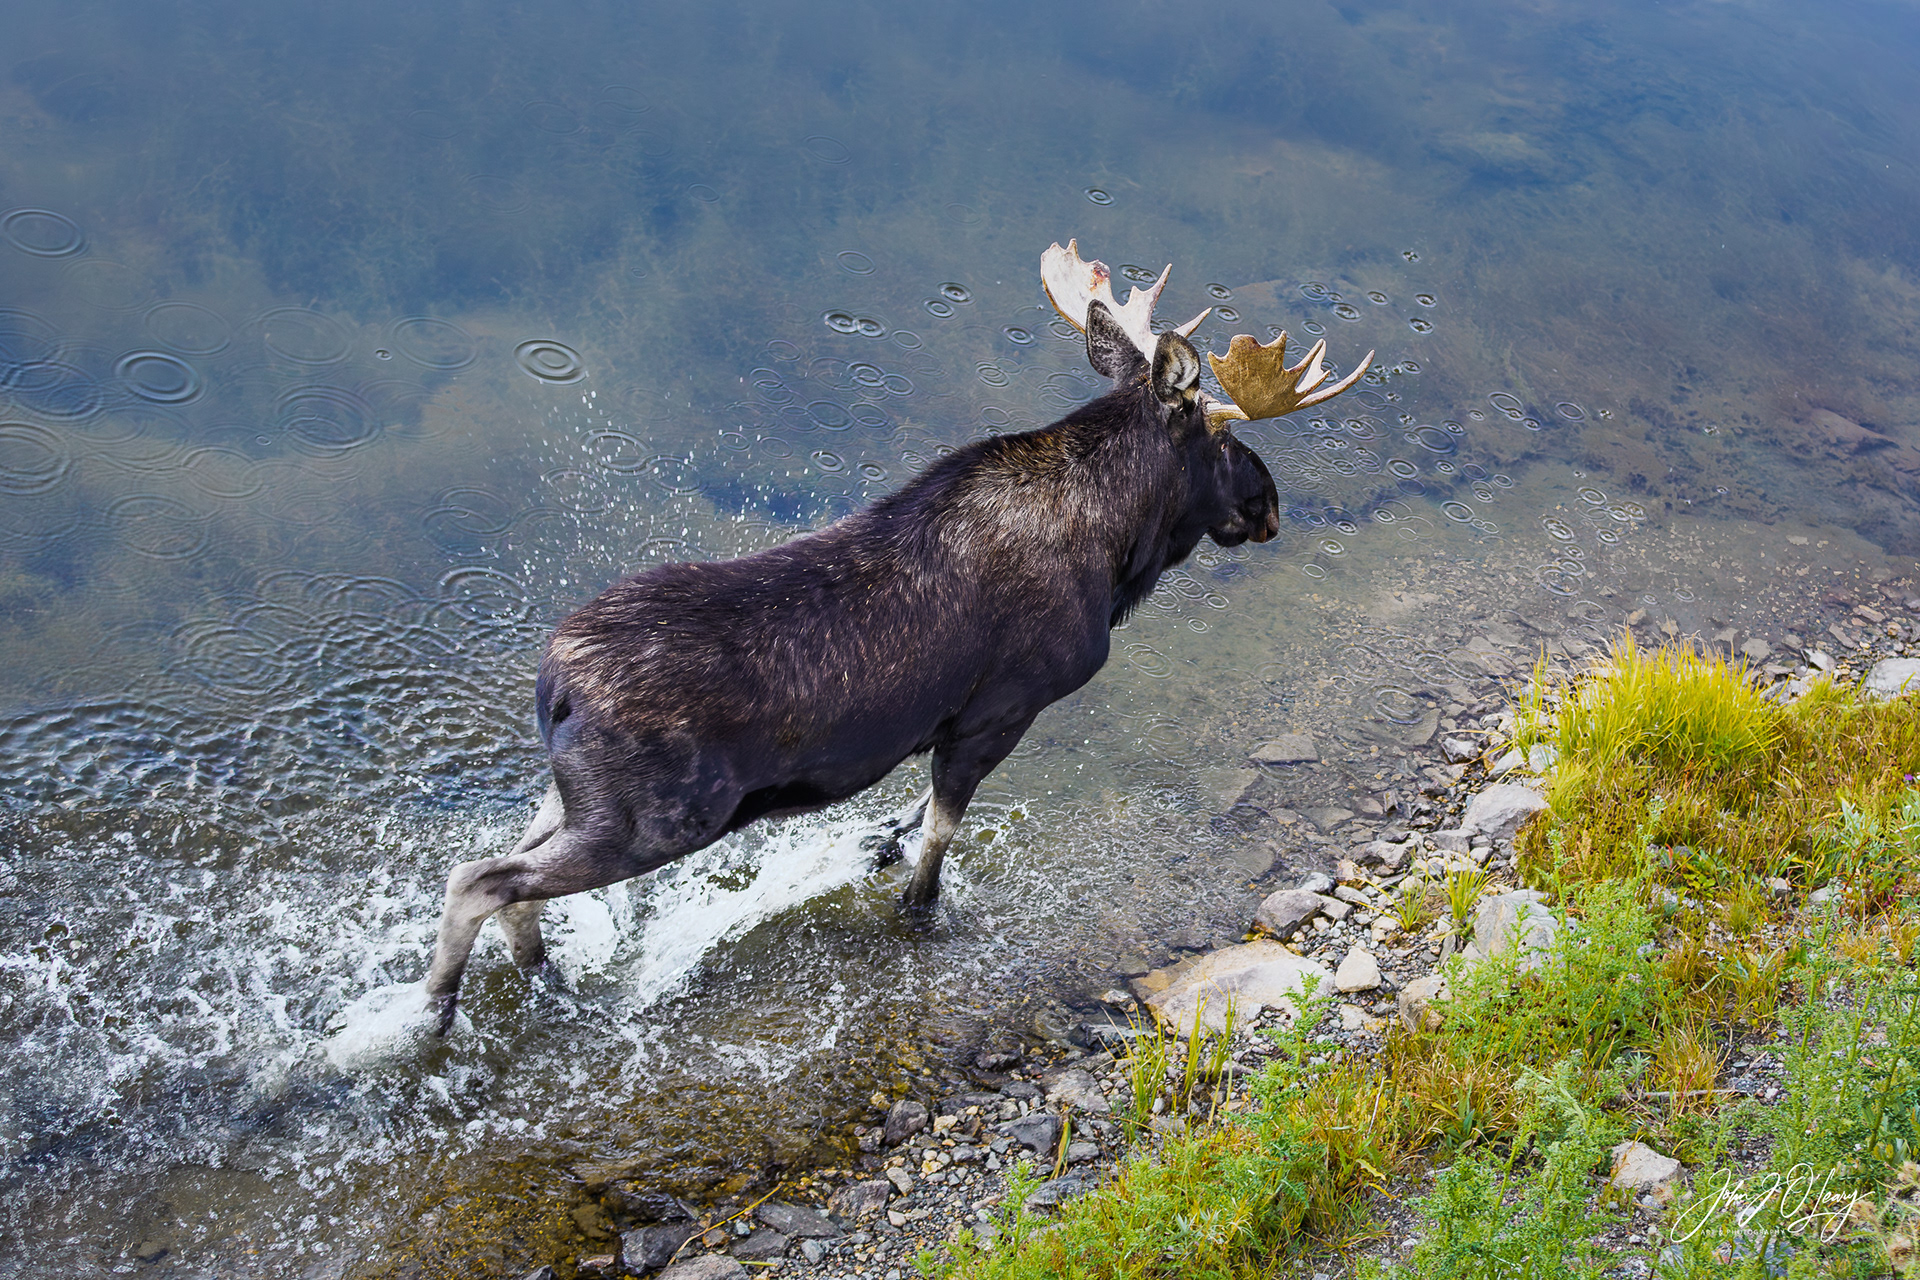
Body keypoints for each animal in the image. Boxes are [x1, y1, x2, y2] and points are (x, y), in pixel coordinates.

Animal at [407, 241, 1371, 1033]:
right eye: (1223, 436)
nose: (1271, 508)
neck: (1118, 553)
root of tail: (555, 686)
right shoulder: (1000, 709)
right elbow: (942, 832)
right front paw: (918, 907)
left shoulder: (943, 723)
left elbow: (906, 819)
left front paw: (879, 853)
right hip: (658, 816)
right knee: (480, 878)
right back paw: (437, 1008)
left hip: (576, 795)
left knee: (507, 871)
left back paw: (540, 976)